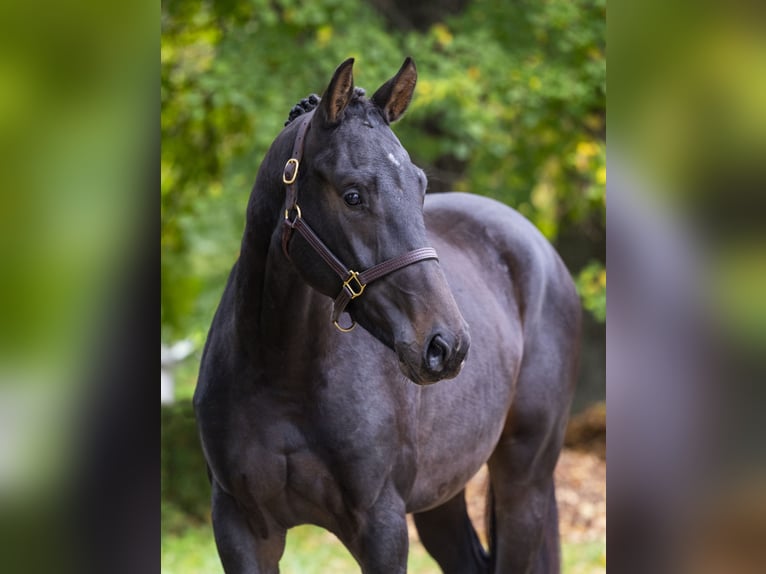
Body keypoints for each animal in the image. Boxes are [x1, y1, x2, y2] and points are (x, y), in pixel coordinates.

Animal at [196, 55, 584, 574]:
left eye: (420, 187)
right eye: (352, 194)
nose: (446, 345)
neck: (278, 374)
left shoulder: (381, 526)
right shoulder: (239, 527)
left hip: (524, 485)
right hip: (444, 496)